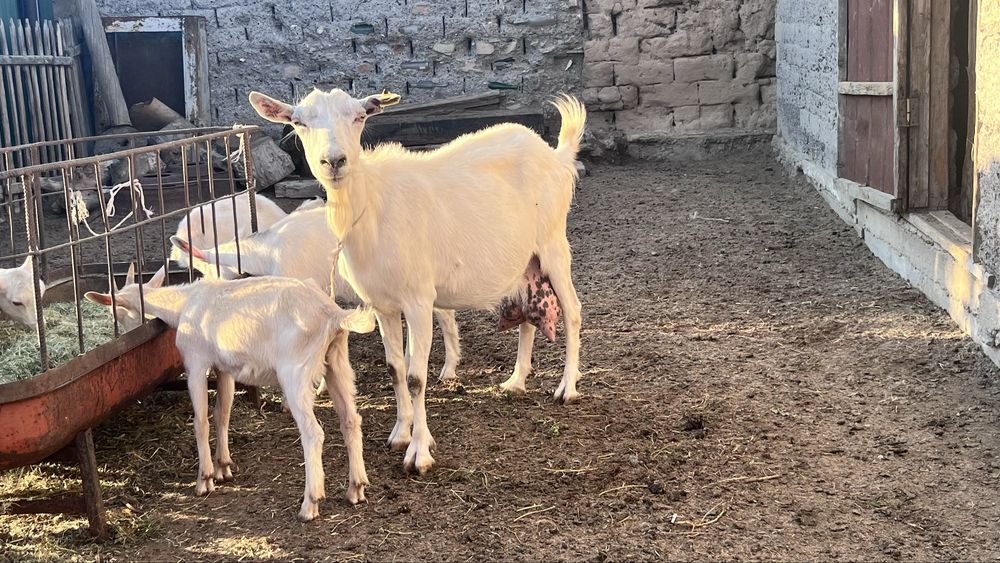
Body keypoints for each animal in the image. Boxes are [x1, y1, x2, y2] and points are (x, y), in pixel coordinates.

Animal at [85, 274, 375, 521]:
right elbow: (221, 412)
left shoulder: (196, 362)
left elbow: (201, 420)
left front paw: (205, 479)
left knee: (313, 433)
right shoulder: (224, 368)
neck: (185, 305)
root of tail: (333, 315)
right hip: (337, 362)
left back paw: (310, 504)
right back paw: (356, 489)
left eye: (117, 314)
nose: (122, 337)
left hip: (296, 371)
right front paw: (223, 466)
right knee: (351, 420)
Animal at [249, 88, 586, 474]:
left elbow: (415, 377)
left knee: (573, 311)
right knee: (528, 315)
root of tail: (556, 156)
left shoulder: (419, 300)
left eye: (359, 117)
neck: (372, 205)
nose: (334, 161)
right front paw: (400, 433)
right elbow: (396, 369)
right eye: (299, 122)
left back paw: (567, 388)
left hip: (553, 244)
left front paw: (419, 452)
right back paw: (516, 381)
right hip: (525, 259)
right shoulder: (383, 305)